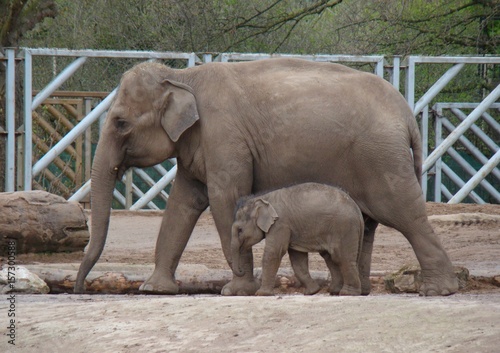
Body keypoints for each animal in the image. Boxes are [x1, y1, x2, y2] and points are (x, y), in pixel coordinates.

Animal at [230, 183, 364, 296]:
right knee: (330, 257)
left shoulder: (280, 224)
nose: (241, 270)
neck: (263, 198)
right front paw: (312, 292)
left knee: (341, 257)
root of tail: (358, 211)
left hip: (344, 228)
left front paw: (261, 294)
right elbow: (297, 259)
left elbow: (274, 252)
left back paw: (348, 293)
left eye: (240, 230)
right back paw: (334, 291)